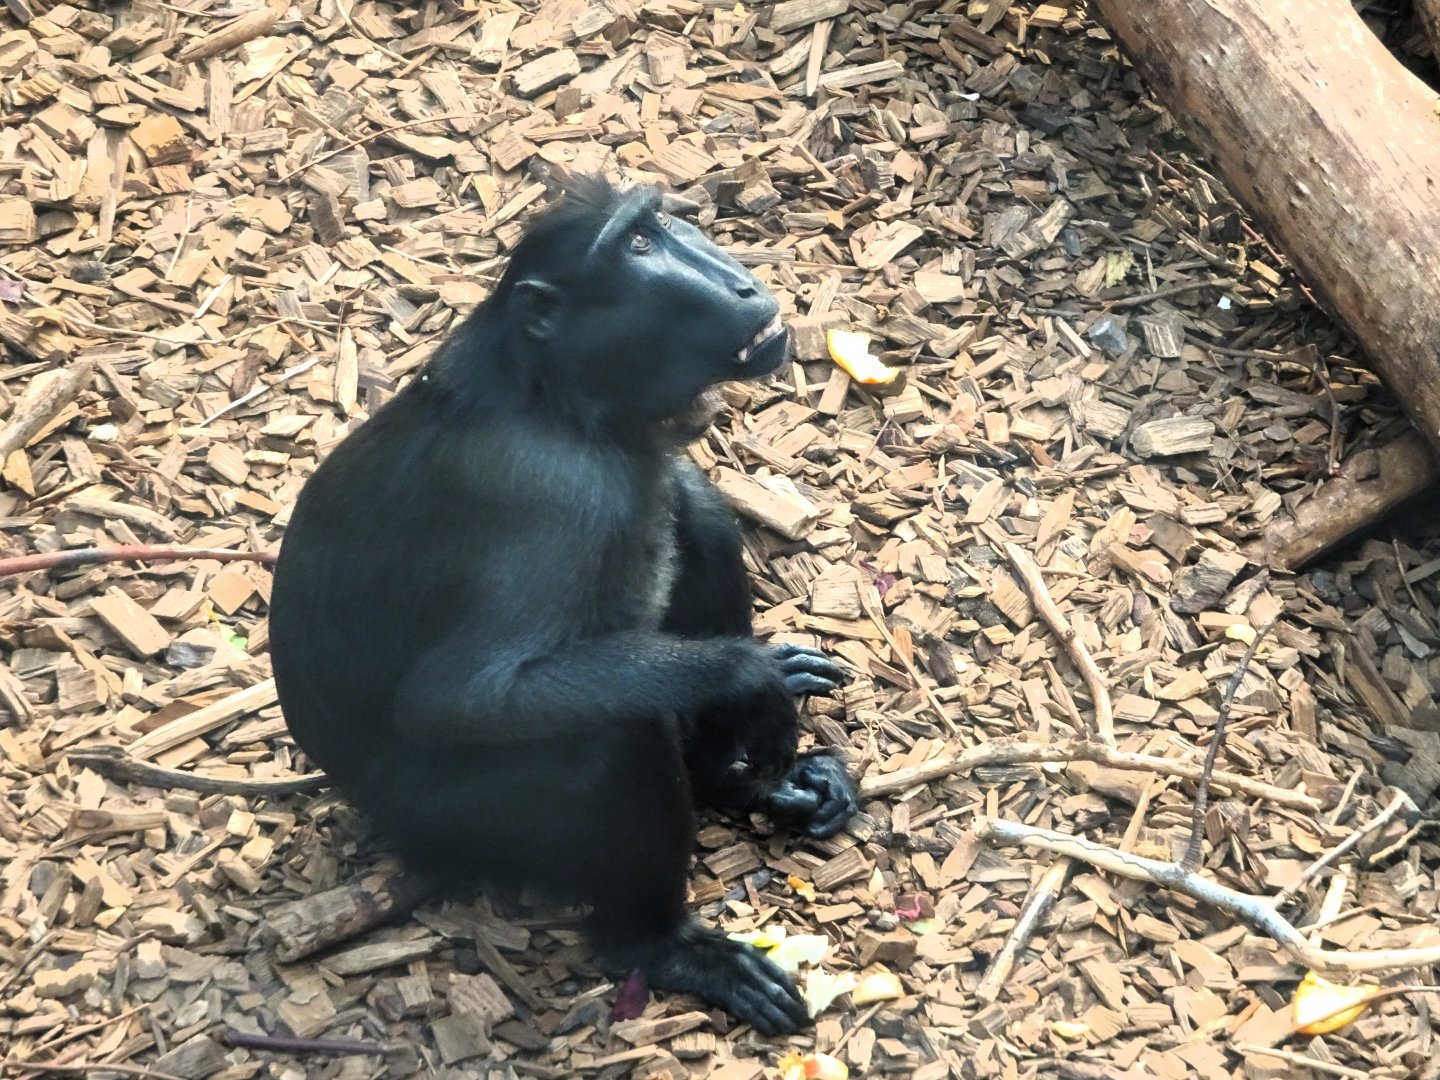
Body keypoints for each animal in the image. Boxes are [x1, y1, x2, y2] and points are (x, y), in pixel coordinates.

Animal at [268, 176, 859, 1035]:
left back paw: (737, 782)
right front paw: (749, 683)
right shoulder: (550, 498)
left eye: (661, 225)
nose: (742, 283)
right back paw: (655, 943)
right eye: (638, 246)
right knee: (610, 736)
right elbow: (462, 698)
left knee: (692, 508)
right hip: (463, 819)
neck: (556, 396)